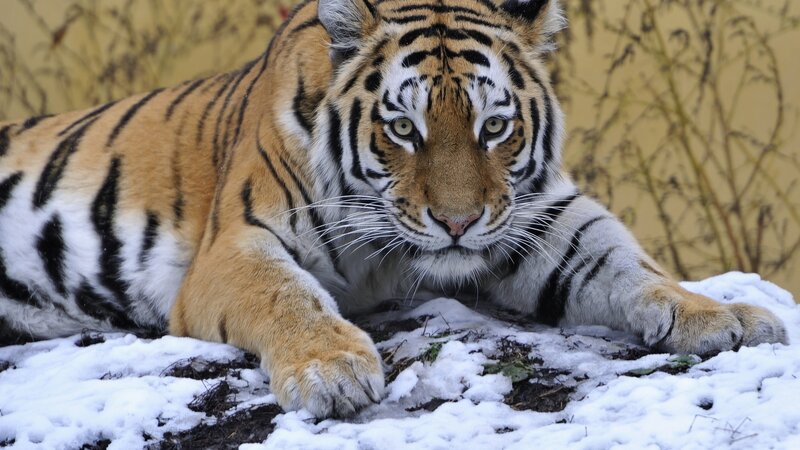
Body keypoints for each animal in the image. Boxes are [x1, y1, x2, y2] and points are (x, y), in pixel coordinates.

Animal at [0, 0, 788, 418]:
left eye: (493, 127)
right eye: (403, 129)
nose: (458, 223)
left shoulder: (541, 215)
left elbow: (626, 264)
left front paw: (722, 315)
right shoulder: (238, 244)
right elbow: (285, 295)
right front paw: (331, 370)